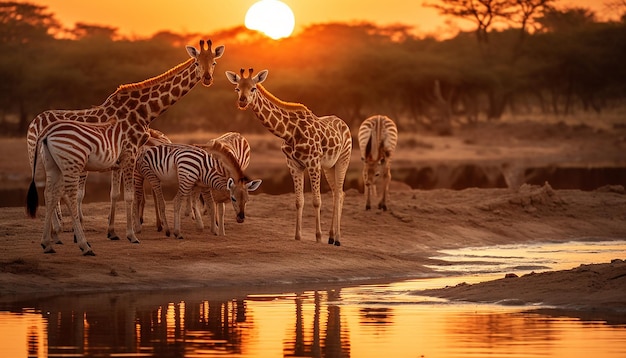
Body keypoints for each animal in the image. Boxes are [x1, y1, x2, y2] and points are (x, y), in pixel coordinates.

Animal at [28, 39, 227, 255]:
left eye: (214, 63)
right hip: (44, 160)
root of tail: (34, 122)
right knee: (55, 193)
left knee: (51, 193)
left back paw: (53, 238)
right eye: (197, 62)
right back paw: (63, 236)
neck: (144, 110)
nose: (207, 78)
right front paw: (131, 235)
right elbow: (130, 196)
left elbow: (115, 194)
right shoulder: (130, 152)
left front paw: (113, 232)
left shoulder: (118, 159)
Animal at [130, 141, 260, 239]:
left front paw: (215, 230)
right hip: (150, 176)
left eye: (247, 200)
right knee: (162, 201)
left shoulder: (203, 186)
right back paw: (169, 231)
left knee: (138, 199)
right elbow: (209, 205)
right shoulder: (200, 184)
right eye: (233, 199)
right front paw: (212, 228)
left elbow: (211, 206)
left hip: (145, 176)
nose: (241, 219)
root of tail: (142, 149)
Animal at [224, 68, 352, 245]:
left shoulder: (313, 163)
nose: (242, 101)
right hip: (329, 166)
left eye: (253, 88)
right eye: (237, 88)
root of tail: (344, 124)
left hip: (343, 158)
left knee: (339, 193)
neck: (289, 132)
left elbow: (316, 201)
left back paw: (337, 239)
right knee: (337, 193)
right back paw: (331, 237)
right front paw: (298, 236)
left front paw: (318, 237)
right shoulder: (293, 164)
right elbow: (299, 201)